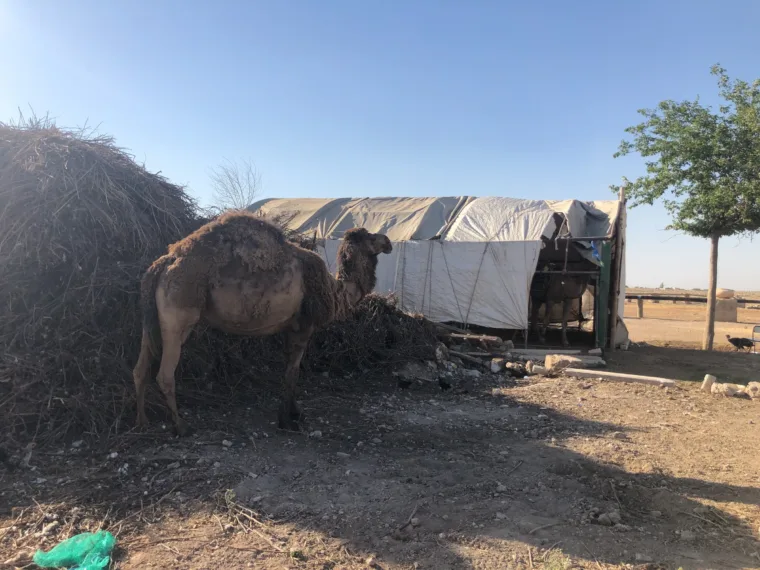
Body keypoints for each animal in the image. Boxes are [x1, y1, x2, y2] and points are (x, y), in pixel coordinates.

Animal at [132, 211, 392, 435]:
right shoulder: (304, 326)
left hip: (153, 319)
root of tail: (162, 264)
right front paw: (287, 420)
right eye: (370, 236)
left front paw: (294, 413)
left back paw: (143, 422)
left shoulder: (289, 328)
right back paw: (181, 426)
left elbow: (289, 370)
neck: (334, 290)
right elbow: (293, 372)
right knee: (164, 374)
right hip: (178, 316)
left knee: (140, 369)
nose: (388, 241)